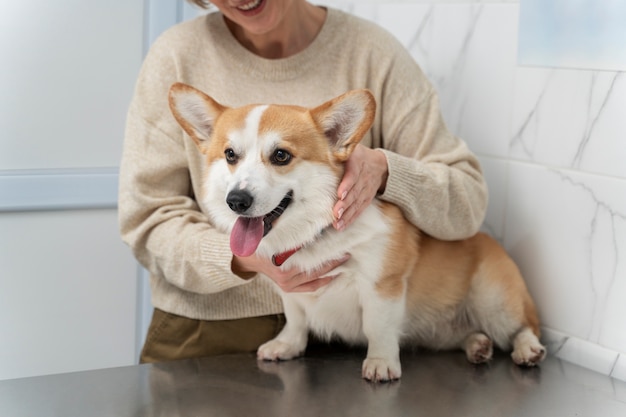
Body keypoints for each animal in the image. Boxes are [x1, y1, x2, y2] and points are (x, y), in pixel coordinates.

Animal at [168, 83, 544, 382]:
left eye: (281, 156)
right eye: (230, 155)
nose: (236, 201)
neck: (316, 231)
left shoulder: (382, 285)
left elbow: (379, 326)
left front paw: (380, 364)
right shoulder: (291, 290)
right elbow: (296, 319)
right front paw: (287, 345)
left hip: (495, 301)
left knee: (525, 326)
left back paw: (527, 349)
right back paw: (477, 345)